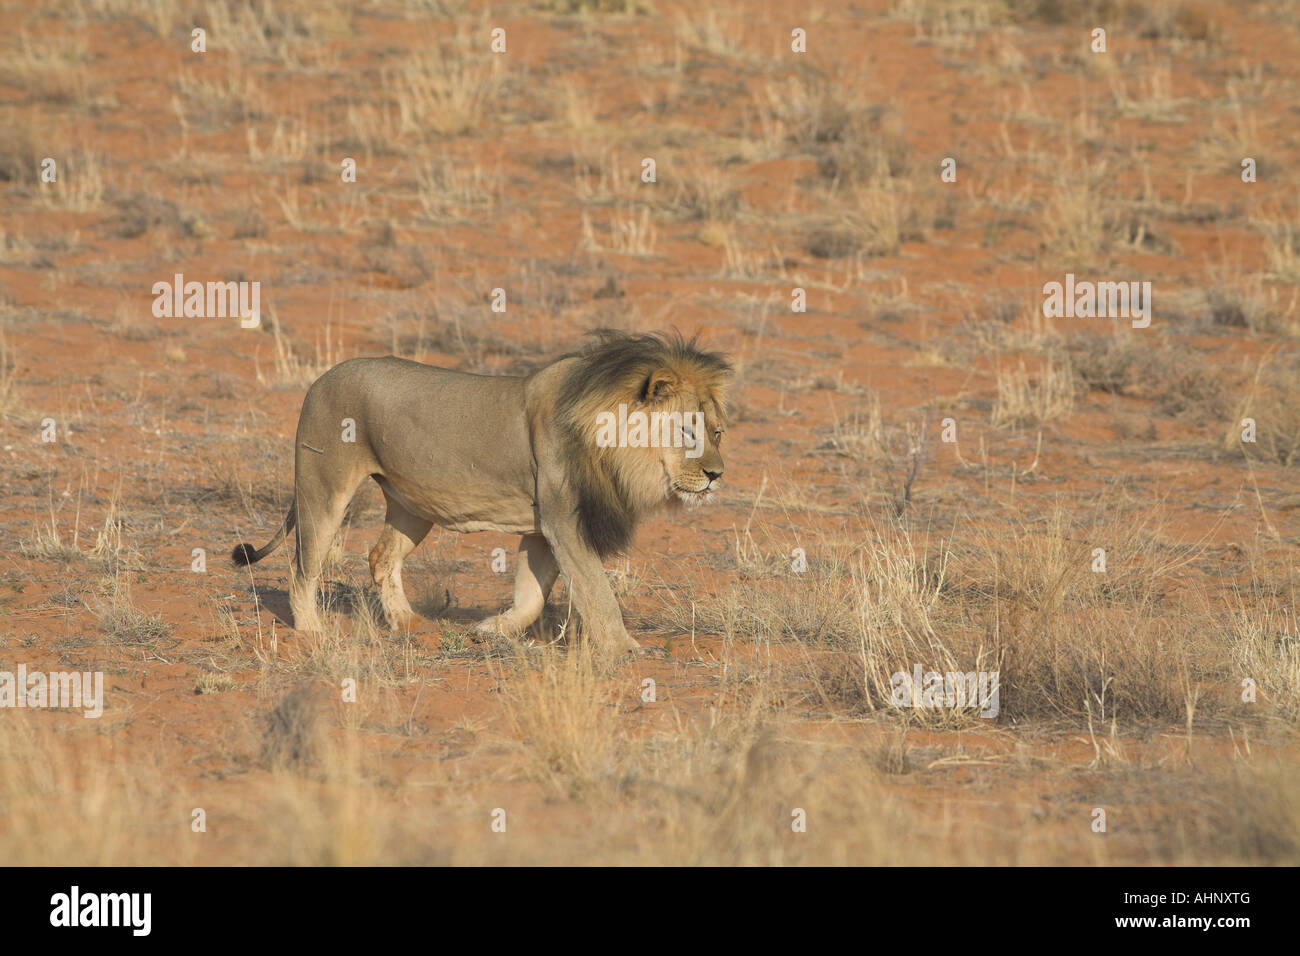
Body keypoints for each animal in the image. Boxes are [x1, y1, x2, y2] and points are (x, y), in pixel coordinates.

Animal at [228, 332, 728, 655]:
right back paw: (312, 632)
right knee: (302, 567)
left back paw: (409, 622)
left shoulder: (542, 528)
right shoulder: (564, 522)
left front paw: (491, 630)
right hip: (323, 487)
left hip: (412, 505)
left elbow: (532, 597)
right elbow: (598, 592)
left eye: (717, 432)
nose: (716, 475)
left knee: (381, 557)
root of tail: (321, 378)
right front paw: (626, 650)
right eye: (687, 431)